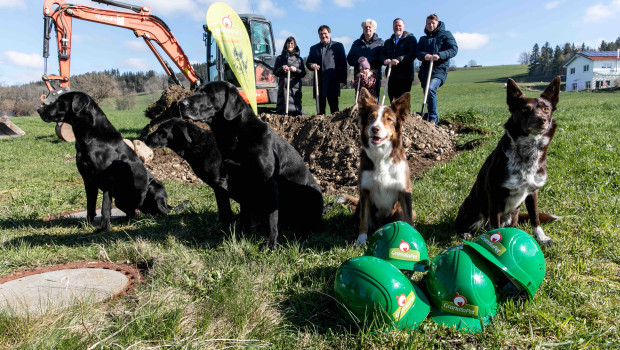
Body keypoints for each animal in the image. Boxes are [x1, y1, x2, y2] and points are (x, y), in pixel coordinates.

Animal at [37, 91, 173, 231]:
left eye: (60, 101)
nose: (39, 110)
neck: (91, 137)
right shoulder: (88, 179)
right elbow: (90, 205)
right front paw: (87, 223)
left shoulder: (108, 180)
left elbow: (105, 206)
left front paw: (103, 228)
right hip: (120, 200)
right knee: (132, 213)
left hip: (153, 188)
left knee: (162, 211)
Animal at [178, 81, 324, 249]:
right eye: (196, 90)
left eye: (209, 93)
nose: (180, 104)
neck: (236, 136)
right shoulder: (241, 182)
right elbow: (244, 213)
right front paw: (241, 234)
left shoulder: (270, 185)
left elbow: (272, 218)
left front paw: (270, 243)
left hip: (310, 197)